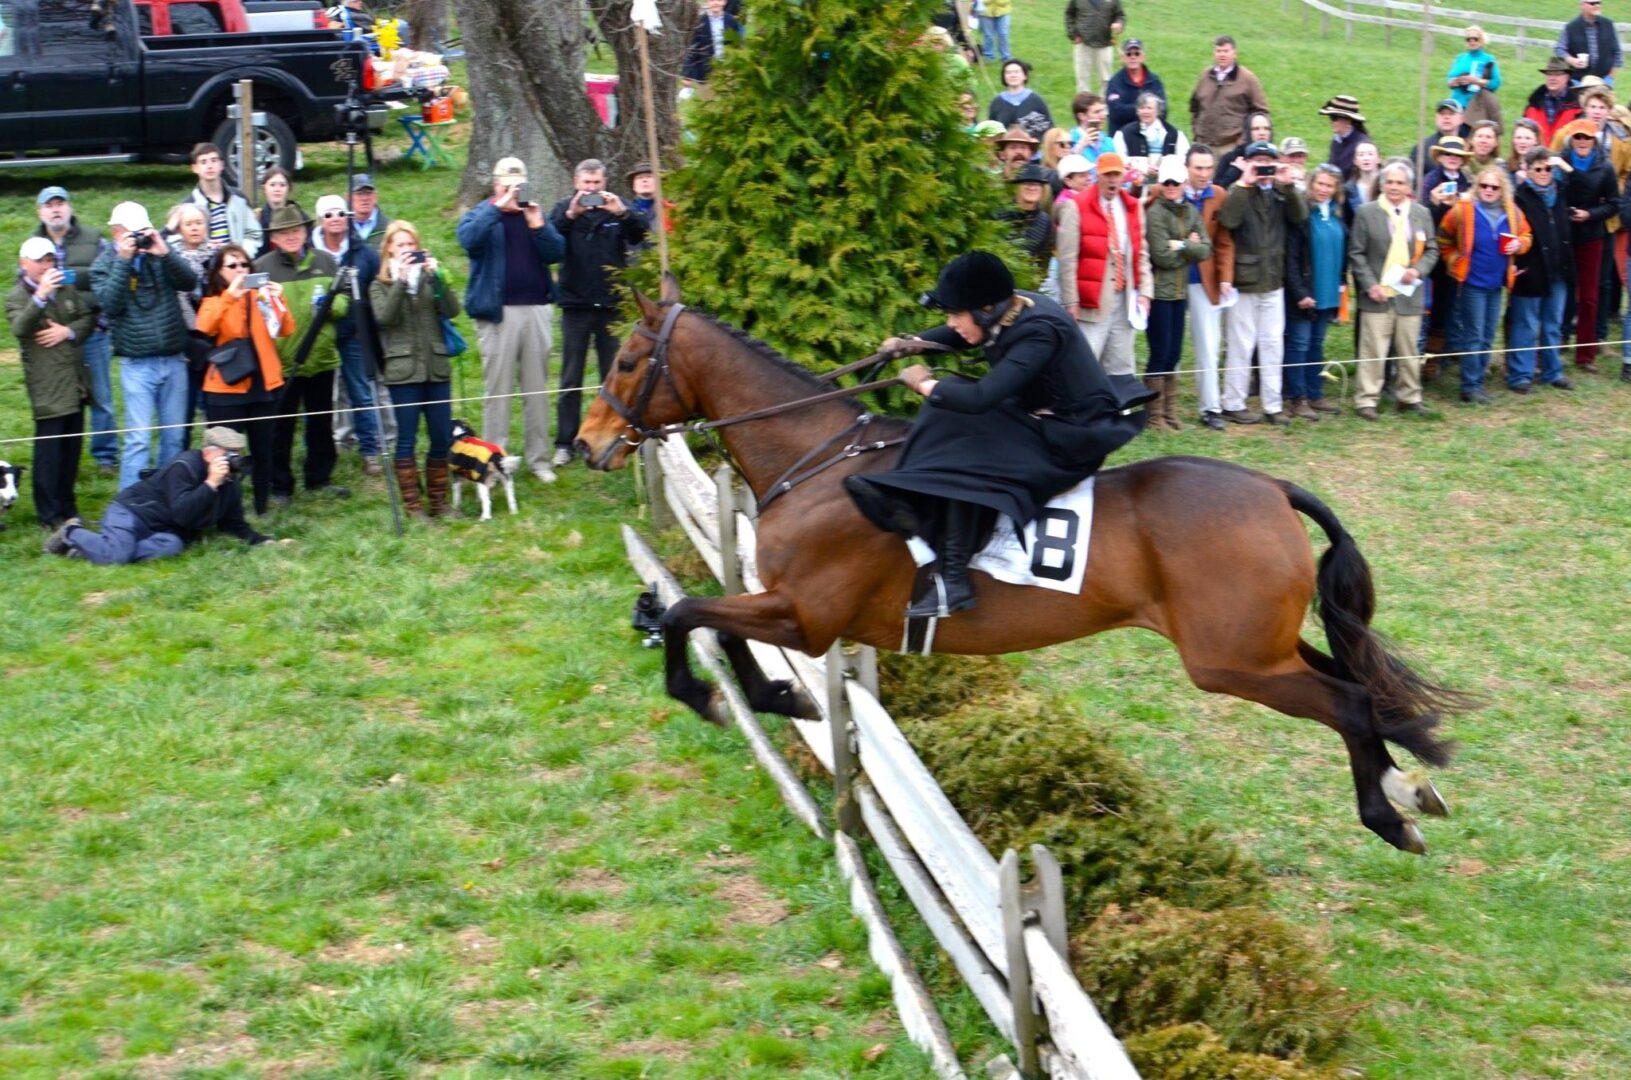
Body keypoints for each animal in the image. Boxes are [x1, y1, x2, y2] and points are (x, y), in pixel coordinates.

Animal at [580, 283, 1474, 861]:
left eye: (625, 363)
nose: (589, 444)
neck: (816, 461)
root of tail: (1271, 490)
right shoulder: (792, 608)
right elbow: (698, 613)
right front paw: (769, 692)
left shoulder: (804, 613)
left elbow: (694, 612)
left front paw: (736, 695)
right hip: (1260, 646)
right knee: (1355, 690)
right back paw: (1406, 791)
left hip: (1229, 662)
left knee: (1348, 701)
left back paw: (1388, 815)